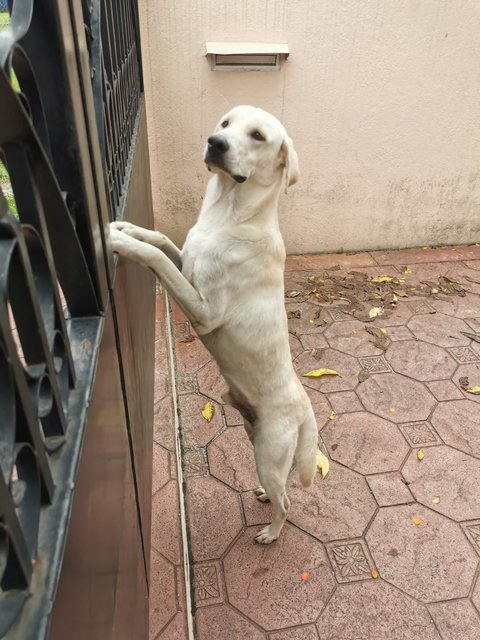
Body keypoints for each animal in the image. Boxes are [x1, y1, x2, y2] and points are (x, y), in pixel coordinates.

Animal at [110, 105, 328, 544]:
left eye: (258, 135)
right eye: (225, 123)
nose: (215, 143)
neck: (230, 213)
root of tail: (303, 406)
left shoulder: (205, 312)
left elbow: (155, 259)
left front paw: (121, 243)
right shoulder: (186, 260)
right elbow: (162, 241)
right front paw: (128, 229)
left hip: (267, 453)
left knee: (287, 502)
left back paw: (271, 533)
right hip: (255, 439)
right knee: (280, 488)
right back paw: (263, 496)